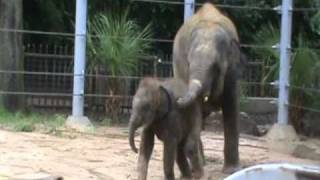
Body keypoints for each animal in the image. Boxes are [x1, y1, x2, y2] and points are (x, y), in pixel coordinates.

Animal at [174, 2, 244, 173]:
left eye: (215, 67)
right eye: (188, 64)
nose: (177, 100)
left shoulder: (232, 70)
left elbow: (231, 105)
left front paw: (233, 171)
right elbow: (196, 108)